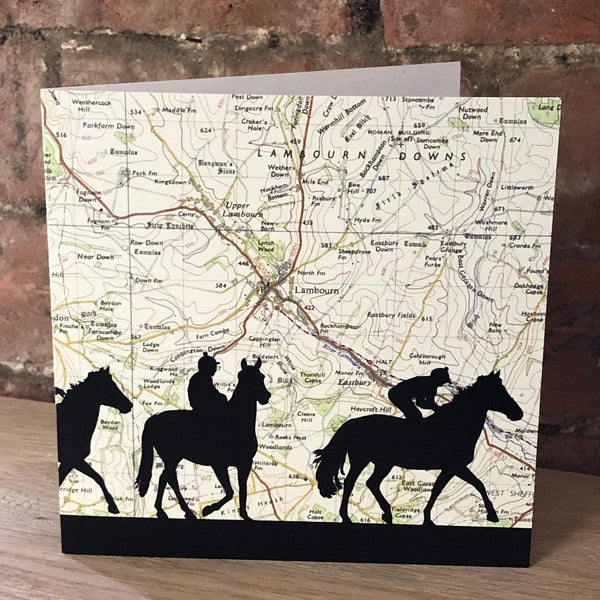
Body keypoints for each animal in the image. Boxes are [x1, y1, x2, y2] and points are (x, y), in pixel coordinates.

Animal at [56, 367, 133, 514]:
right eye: (109, 386)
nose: (129, 405)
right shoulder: (72, 460)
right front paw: (113, 506)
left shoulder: (72, 461)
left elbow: (98, 477)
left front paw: (113, 506)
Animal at [135, 357, 271, 520]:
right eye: (244, 377)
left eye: (261, 377)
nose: (266, 396)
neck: (235, 423)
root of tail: (154, 419)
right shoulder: (219, 465)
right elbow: (230, 492)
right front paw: (208, 509)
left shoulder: (244, 464)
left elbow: (242, 489)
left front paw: (244, 515)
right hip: (172, 457)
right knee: (166, 478)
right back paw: (167, 511)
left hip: (173, 458)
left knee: (168, 478)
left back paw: (182, 511)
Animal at [314, 371, 523, 526]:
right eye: (497, 392)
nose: (518, 413)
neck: (456, 426)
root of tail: (352, 423)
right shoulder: (454, 467)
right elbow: (471, 485)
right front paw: (492, 515)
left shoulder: (453, 468)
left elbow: (445, 488)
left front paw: (428, 518)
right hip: (364, 460)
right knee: (352, 483)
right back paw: (348, 516)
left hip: (381, 463)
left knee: (370, 483)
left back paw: (386, 514)